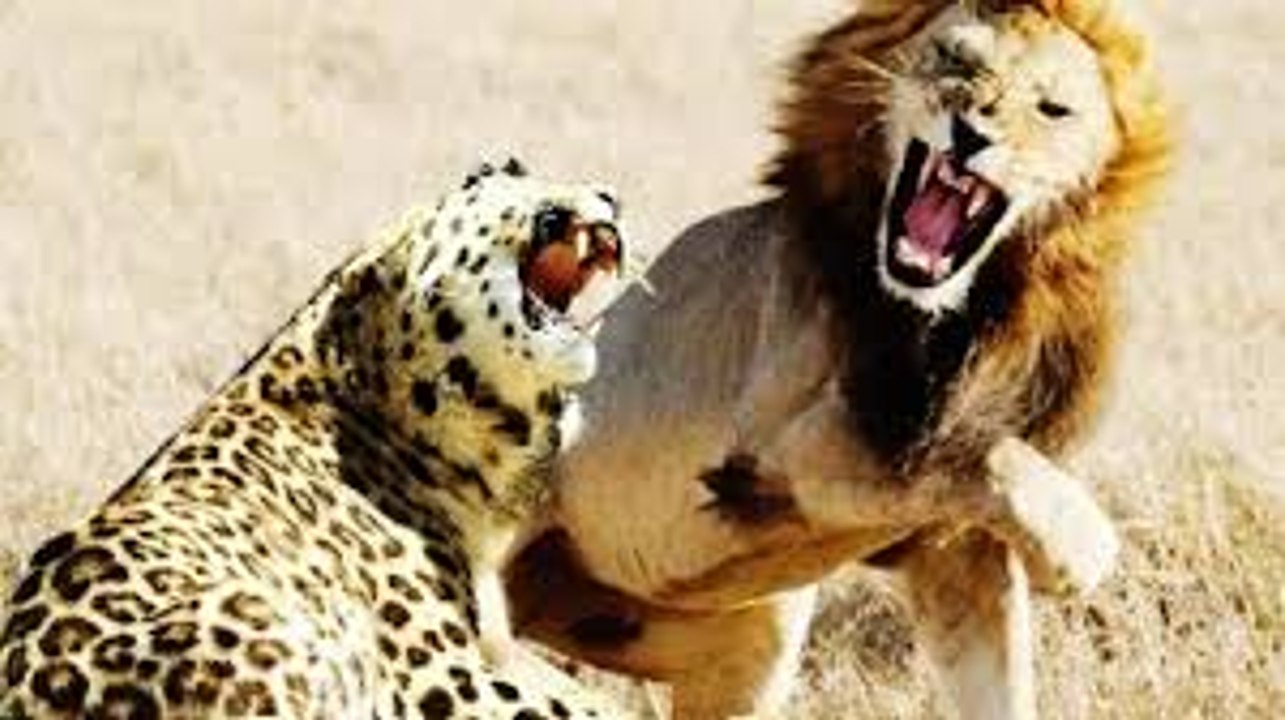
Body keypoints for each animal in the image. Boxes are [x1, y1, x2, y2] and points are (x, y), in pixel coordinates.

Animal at [506, 1, 1171, 718]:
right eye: (955, 59)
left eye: (1053, 109)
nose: (970, 136)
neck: (960, 317)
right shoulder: (784, 443)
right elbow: (991, 456)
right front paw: (1082, 548)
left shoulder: (953, 548)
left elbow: (1000, 676)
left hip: (747, 649)